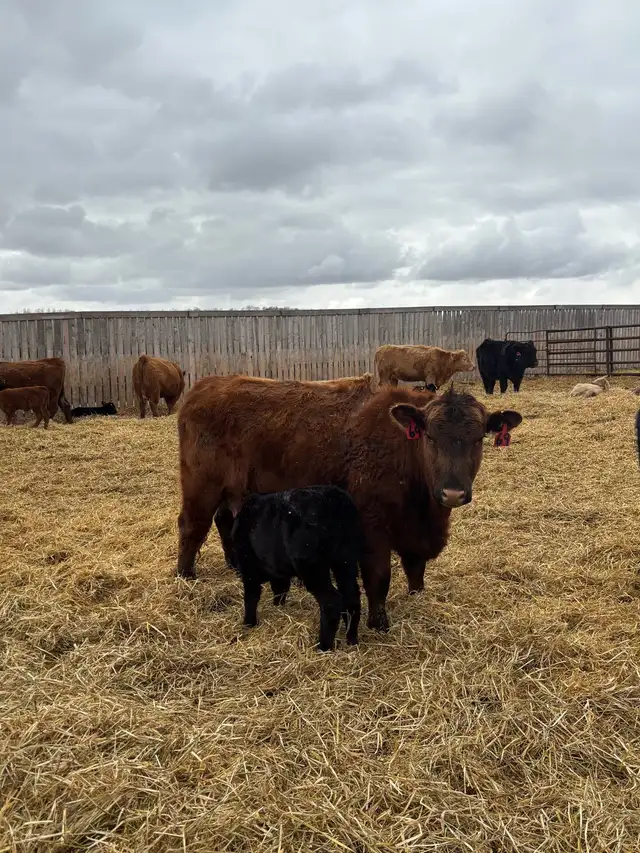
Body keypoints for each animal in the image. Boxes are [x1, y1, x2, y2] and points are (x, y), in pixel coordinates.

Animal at [176, 374, 523, 632]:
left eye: (478, 439)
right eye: (430, 437)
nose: (452, 493)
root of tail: (207, 385)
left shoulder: (415, 531)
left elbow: (416, 569)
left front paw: (416, 597)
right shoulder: (372, 526)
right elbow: (379, 577)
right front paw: (378, 623)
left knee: (224, 522)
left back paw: (234, 564)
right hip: (201, 488)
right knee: (192, 527)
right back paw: (185, 575)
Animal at [231, 485, 362, 651]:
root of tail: (334, 499)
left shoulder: (248, 566)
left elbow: (251, 596)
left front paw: (249, 623)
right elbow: (280, 589)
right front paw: (278, 607)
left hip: (312, 567)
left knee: (331, 601)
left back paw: (323, 647)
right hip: (346, 560)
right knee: (352, 596)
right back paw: (352, 638)